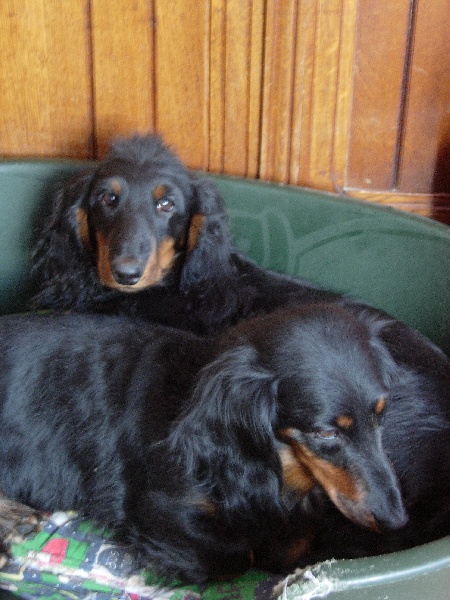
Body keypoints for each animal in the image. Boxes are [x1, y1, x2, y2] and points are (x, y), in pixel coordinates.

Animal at [3, 304, 444, 580]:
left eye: (382, 414)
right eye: (326, 432)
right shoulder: (157, 506)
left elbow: (289, 546)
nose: (395, 519)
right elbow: (237, 556)